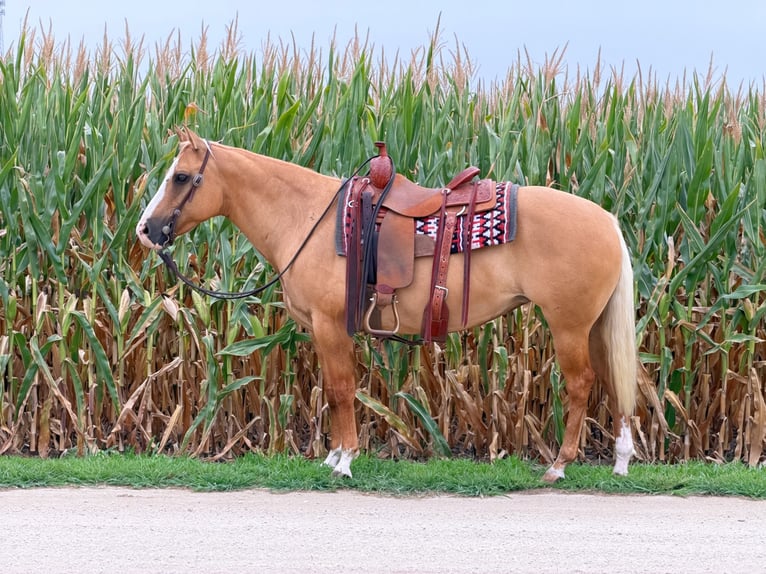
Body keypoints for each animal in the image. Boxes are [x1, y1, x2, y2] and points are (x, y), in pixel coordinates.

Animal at [135, 128, 638, 483]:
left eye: (181, 177)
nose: (145, 230)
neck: (307, 217)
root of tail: (607, 220)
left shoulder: (330, 325)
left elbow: (341, 389)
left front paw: (344, 461)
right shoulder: (321, 329)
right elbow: (334, 389)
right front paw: (333, 456)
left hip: (568, 326)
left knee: (581, 385)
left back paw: (559, 465)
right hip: (594, 327)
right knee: (613, 380)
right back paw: (620, 461)